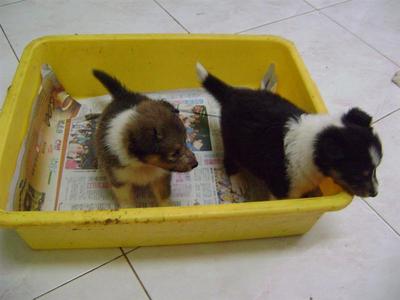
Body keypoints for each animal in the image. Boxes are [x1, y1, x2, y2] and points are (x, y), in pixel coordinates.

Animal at [92, 70, 198, 207]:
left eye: (186, 141)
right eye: (174, 153)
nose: (196, 164)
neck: (141, 164)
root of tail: (123, 94)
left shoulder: (161, 177)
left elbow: (164, 195)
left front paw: (168, 207)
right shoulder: (118, 180)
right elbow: (125, 199)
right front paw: (129, 209)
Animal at [195, 63, 382, 199]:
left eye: (375, 169)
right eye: (358, 174)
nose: (375, 194)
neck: (314, 145)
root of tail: (233, 92)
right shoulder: (283, 189)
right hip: (234, 141)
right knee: (229, 160)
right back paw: (238, 181)